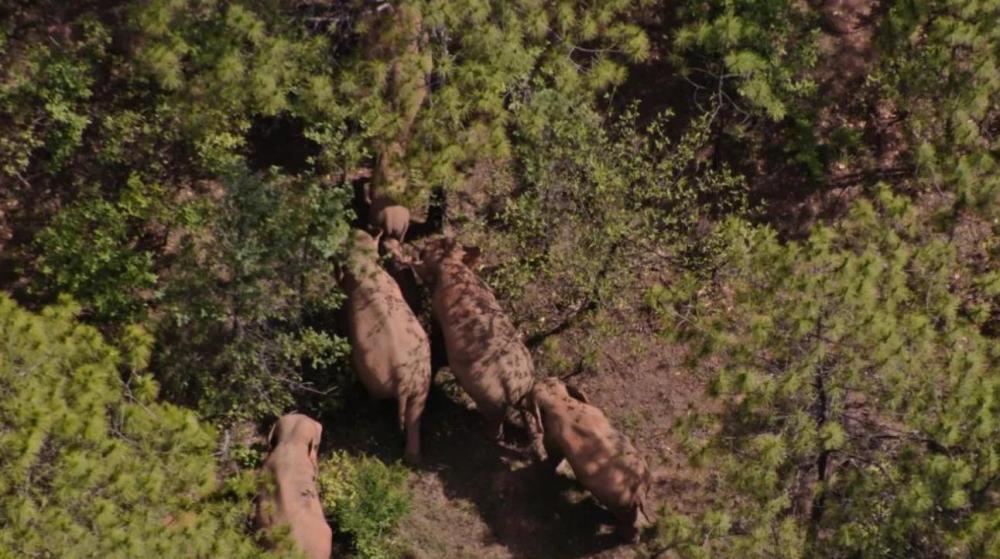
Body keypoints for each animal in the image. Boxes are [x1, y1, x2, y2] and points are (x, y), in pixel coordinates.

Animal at [340, 228, 430, 464]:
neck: (366, 267)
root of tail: (403, 381)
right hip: (422, 382)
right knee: (415, 415)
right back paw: (412, 458)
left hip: (374, 374)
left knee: (375, 396)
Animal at [410, 236, 544, 456]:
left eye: (433, 246)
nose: (424, 244)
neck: (454, 265)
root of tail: (515, 387)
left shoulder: (437, 303)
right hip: (526, 390)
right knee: (531, 417)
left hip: (492, 400)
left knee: (496, 429)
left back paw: (480, 433)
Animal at [528, 378, 652, 540]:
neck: (561, 401)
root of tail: (639, 491)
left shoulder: (553, 436)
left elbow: (553, 453)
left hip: (621, 504)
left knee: (626, 522)